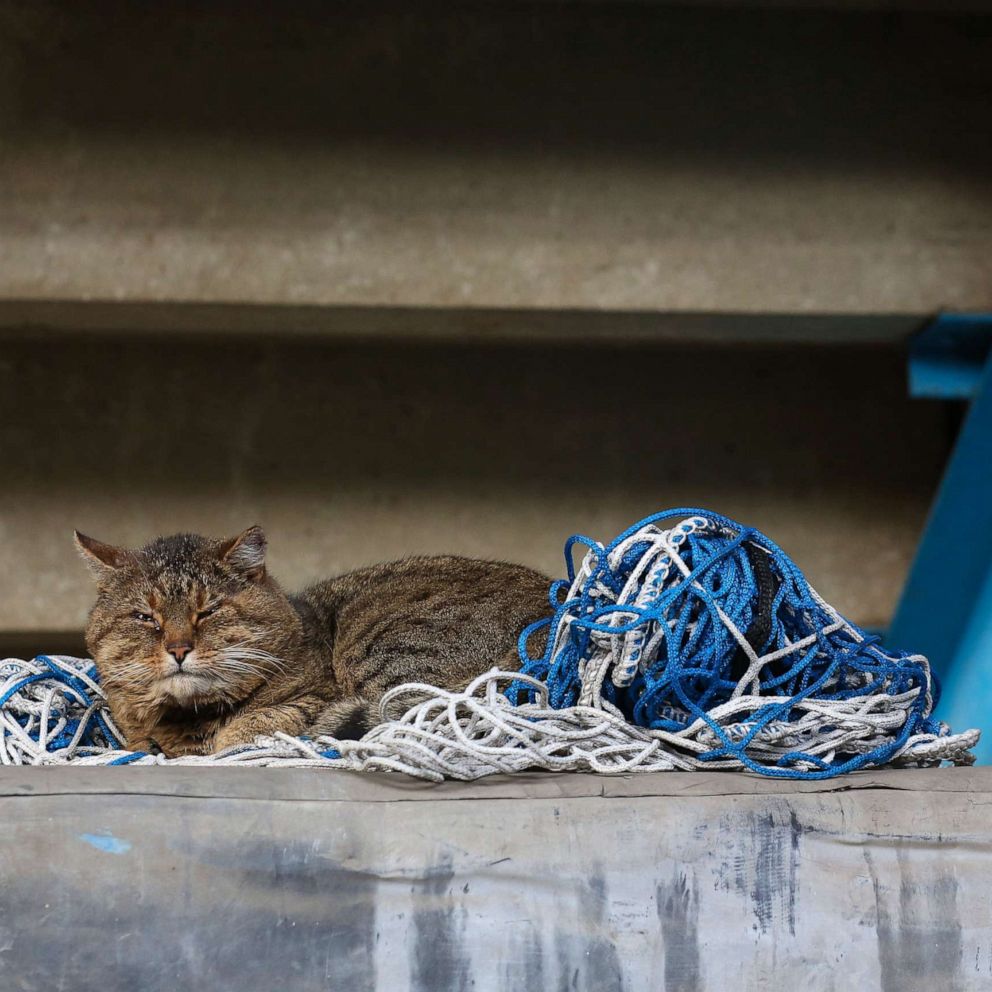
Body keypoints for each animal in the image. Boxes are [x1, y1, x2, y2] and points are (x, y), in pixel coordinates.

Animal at [74, 532, 552, 756]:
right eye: (145, 617)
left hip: (380, 649)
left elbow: (256, 724)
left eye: (208, 610)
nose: (177, 649)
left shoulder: (319, 697)